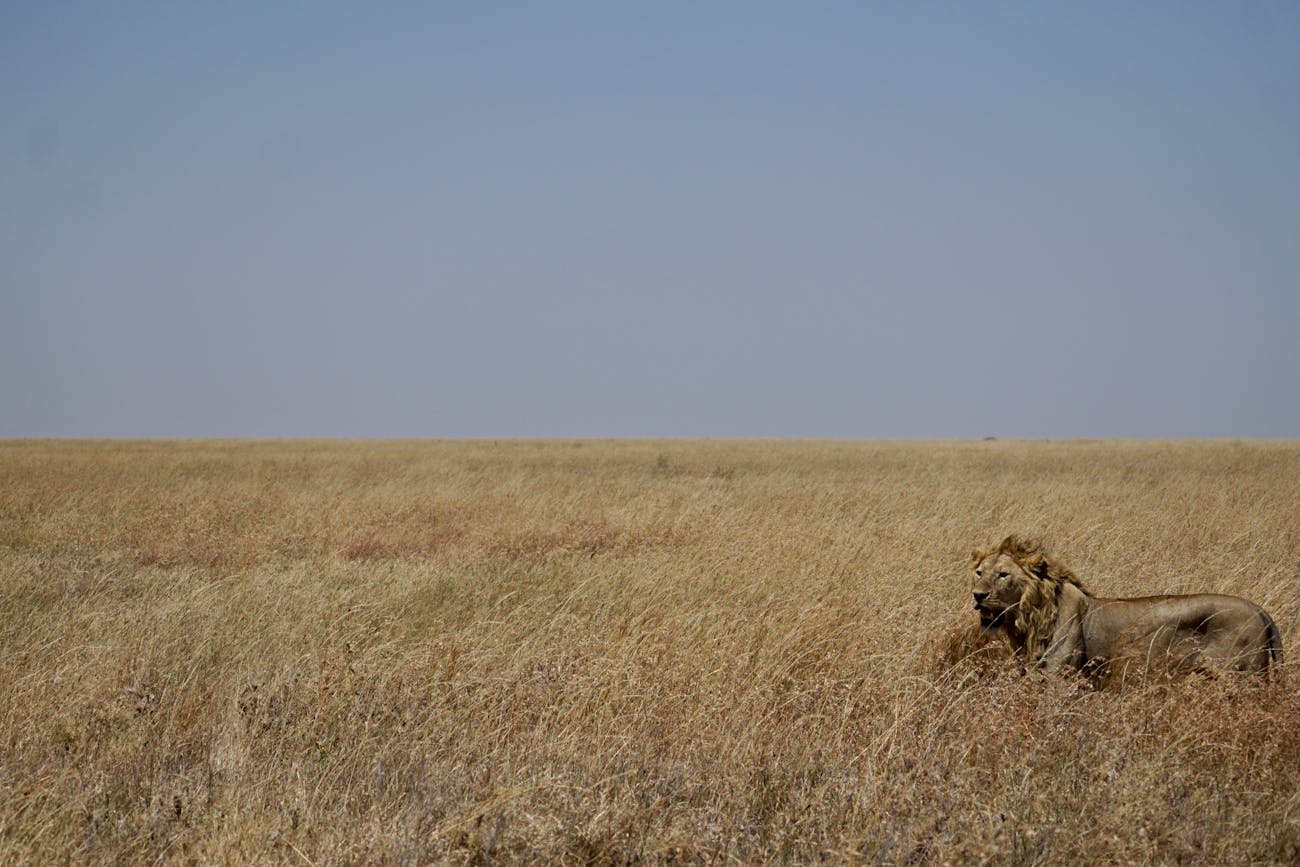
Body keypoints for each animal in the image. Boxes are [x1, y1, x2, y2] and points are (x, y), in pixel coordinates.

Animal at [967, 532, 1279, 681]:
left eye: (1003, 575)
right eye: (979, 572)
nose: (977, 595)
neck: (1028, 619)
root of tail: (1260, 611)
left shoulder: (1059, 678)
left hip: (1240, 677)